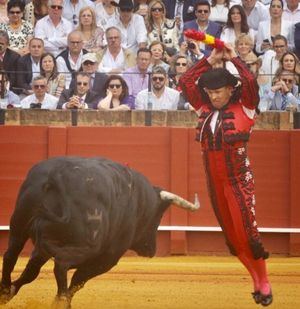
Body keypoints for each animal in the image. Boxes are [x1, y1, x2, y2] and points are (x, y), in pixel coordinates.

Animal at [0, 156, 199, 306]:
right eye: (159, 215)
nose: (152, 249)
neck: (139, 199)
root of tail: (57, 175)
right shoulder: (108, 258)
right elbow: (78, 280)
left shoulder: (42, 248)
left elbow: (31, 272)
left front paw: (11, 291)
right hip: (88, 246)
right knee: (61, 264)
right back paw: (60, 301)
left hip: (19, 224)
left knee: (11, 255)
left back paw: (4, 291)